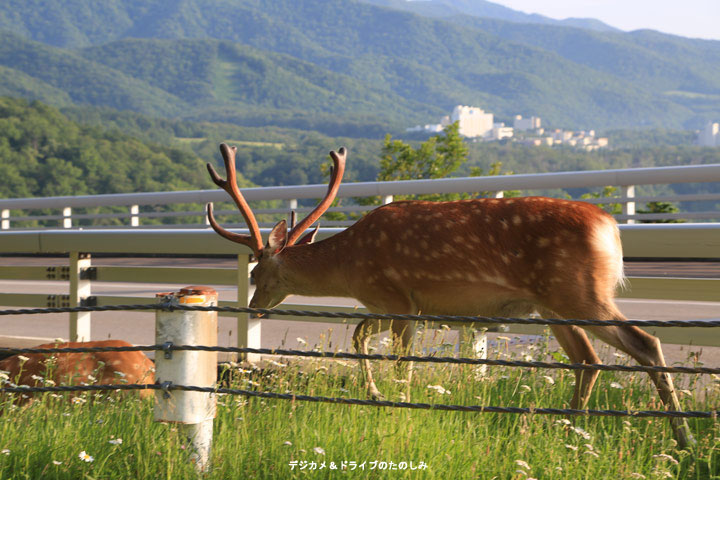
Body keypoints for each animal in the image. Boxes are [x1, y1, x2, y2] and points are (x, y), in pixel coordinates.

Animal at [205, 142, 696, 448]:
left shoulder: (396, 298)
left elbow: (401, 362)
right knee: (588, 358)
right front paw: (375, 395)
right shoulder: (401, 303)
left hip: (579, 292)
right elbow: (360, 334)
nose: (255, 309)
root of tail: (611, 228)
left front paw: (398, 406)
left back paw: (683, 437)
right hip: (553, 305)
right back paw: (568, 427)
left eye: (258, 271)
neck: (351, 265)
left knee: (645, 341)